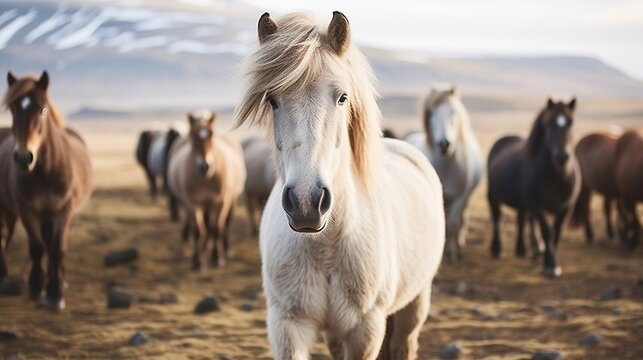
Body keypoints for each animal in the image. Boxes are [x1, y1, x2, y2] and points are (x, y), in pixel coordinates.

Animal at [0, 71, 93, 310]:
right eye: (12, 109)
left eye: (42, 110)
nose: (23, 158)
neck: (46, 171)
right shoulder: (25, 210)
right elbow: (37, 247)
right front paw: (36, 286)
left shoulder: (64, 210)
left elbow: (57, 248)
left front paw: (55, 293)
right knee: (5, 237)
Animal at [166, 111, 247, 268]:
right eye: (193, 134)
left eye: (210, 134)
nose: (205, 166)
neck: (206, 179)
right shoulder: (194, 204)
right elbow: (199, 231)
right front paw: (198, 260)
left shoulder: (220, 203)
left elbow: (217, 229)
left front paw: (218, 257)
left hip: (231, 201)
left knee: (225, 225)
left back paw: (225, 250)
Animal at [234, 11, 446, 360]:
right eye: (273, 99)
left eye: (342, 97)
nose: (306, 204)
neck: (326, 250)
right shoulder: (287, 326)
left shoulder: (365, 330)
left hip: (415, 301)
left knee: (404, 342)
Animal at [408, 87, 484, 262]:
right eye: (430, 113)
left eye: (453, 111)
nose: (444, 144)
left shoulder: (460, 197)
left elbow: (452, 225)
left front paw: (452, 254)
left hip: (467, 198)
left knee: (463, 218)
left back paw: (460, 245)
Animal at [488, 97, 584, 278]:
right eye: (549, 124)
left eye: (571, 122)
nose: (562, 156)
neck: (556, 176)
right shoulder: (537, 206)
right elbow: (547, 231)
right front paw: (550, 265)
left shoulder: (565, 207)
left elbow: (557, 232)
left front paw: (549, 257)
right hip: (493, 197)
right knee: (497, 218)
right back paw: (497, 249)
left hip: (522, 204)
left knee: (522, 220)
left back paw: (524, 249)